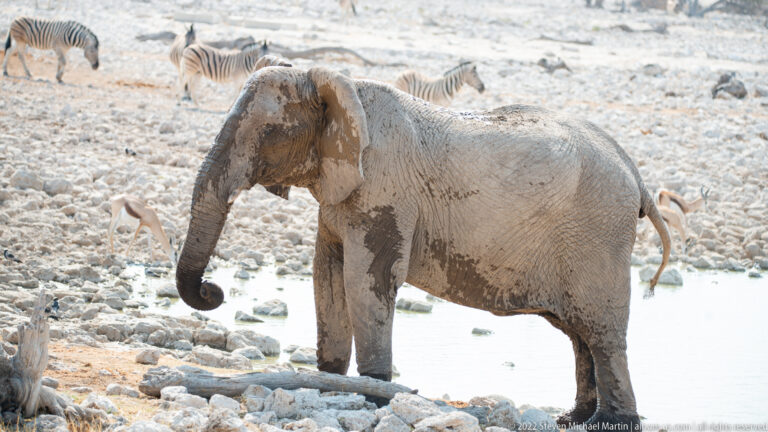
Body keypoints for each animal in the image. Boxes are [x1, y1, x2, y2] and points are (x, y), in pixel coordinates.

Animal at [175, 66, 671, 431]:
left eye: (268, 133)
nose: (212, 290)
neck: (336, 84)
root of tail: (635, 172)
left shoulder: (386, 187)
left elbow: (366, 279)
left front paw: (374, 396)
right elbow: (326, 275)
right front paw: (330, 384)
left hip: (598, 233)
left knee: (601, 331)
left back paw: (613, 422)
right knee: (577, 333)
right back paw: (573, 418)